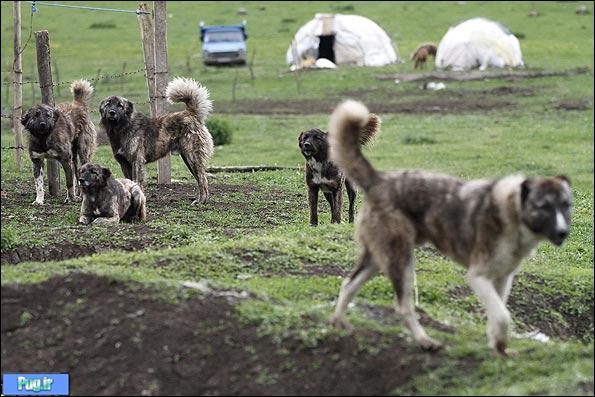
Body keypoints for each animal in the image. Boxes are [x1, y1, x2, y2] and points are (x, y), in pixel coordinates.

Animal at [99, 76, 214, 204]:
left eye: (120, 105)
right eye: (108, 104)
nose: (112, 112)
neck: (122, 128)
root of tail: (190, 113)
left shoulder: (137, 161)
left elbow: (137, 183)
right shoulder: (125, 164)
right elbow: (130, 184)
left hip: (192, 156)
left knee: (203, 179)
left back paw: (201, 201)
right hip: (187, 158)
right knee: (200, 178)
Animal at [328, 100, 576, 356]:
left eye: (566, 205)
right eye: (543, 207)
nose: (562, 232)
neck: (511, 211)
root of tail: (380, 180)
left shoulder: (502, 279)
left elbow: (496, 315)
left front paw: (498, 348)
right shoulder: (478, 276)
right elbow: (503, 316)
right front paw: (499, 348)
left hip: (378, 258)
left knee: (348, 284)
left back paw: (339, 323)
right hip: (401, 260)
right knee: (402, 306)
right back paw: (424, 341)